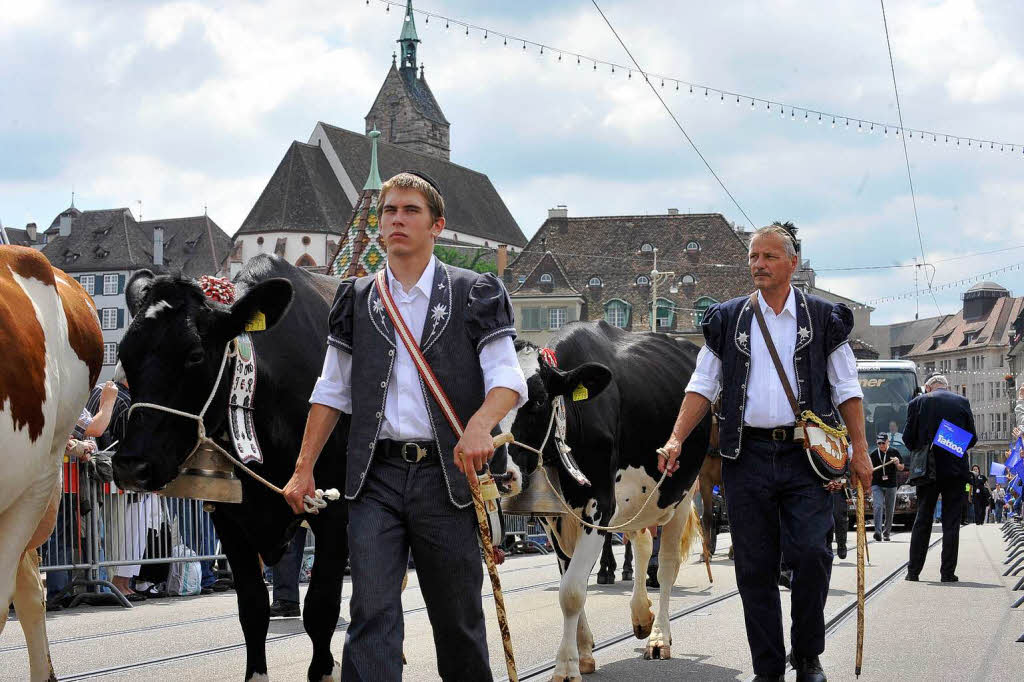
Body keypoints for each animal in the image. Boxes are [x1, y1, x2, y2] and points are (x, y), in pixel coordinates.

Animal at [110, 254, 346, 679]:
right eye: (123, 353)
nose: (131, 466)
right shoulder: (229, 516)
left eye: (195, 354)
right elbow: (252, 610)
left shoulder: (336, 511)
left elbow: (321, 610)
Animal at [497, 321, 708, 675]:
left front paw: (565, 667)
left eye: (538, 401)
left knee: (667, 565)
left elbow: (571, 590)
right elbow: (570, 577)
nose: (500, 473)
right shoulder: (555, 517)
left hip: (680, 493)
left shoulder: (601, 504)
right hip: (638, 500)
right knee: (642, 543)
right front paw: (583, 652)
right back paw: (641, 615)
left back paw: (658, 637)